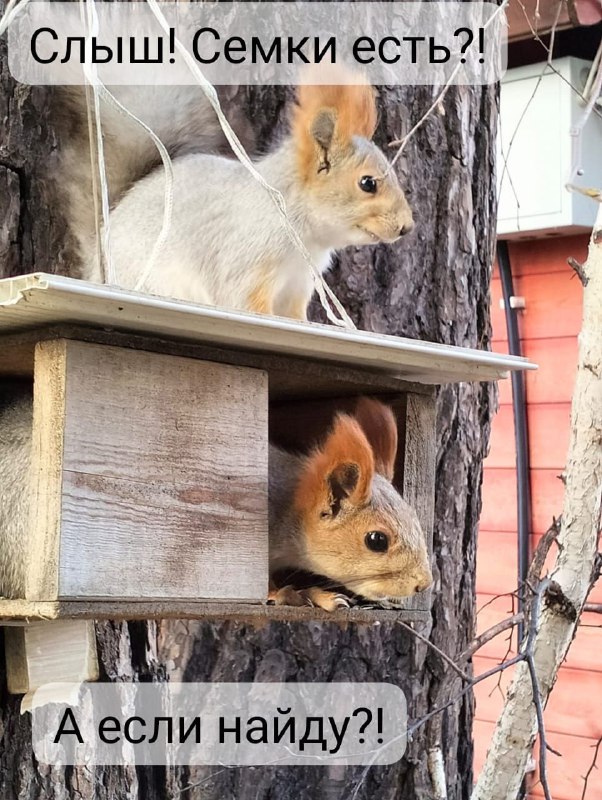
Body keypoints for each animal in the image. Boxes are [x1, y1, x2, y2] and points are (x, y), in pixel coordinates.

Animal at [58, 72, 410, 318]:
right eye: (368, 183)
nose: (407, 227)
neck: (306, 236)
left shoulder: (296, 285)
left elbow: (293, 316)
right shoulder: (246, 260)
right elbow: (244, 301)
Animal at [268, 396, 432, 608]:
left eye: (414, 515)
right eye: (377, 540)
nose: (424, 584)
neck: (289, 510)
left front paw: (319, 595)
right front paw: (283, 594)